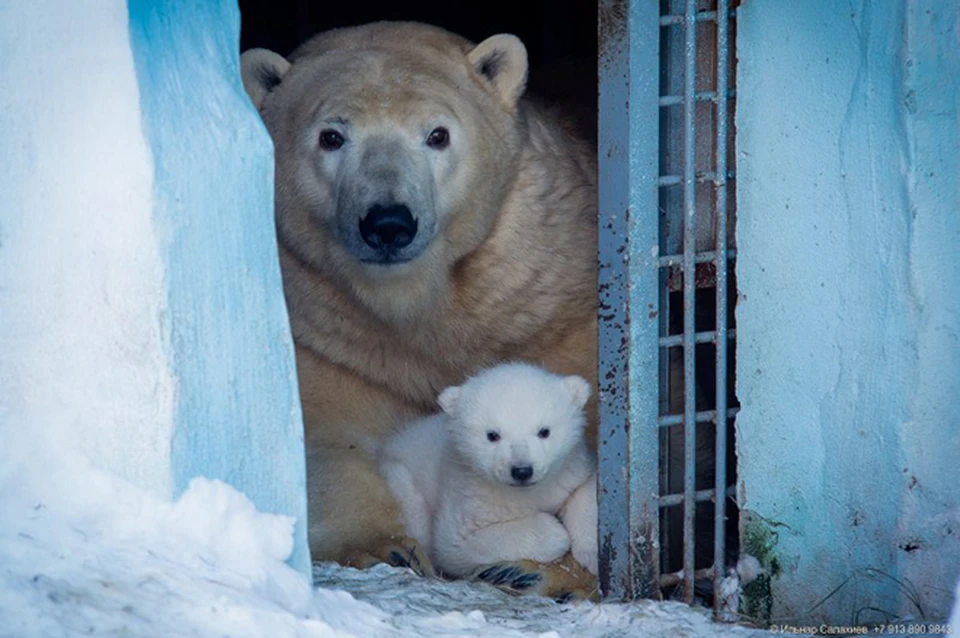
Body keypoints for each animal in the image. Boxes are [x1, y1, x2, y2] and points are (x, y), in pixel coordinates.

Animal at [376, 364, 596, 580]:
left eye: (544, 431)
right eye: (492, 435)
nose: (522, 471)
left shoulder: (568, 471)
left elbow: (583, 489)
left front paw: (591, 553)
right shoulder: (471, 496)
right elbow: (457, 544)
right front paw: (554, 531)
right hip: (401, 483)